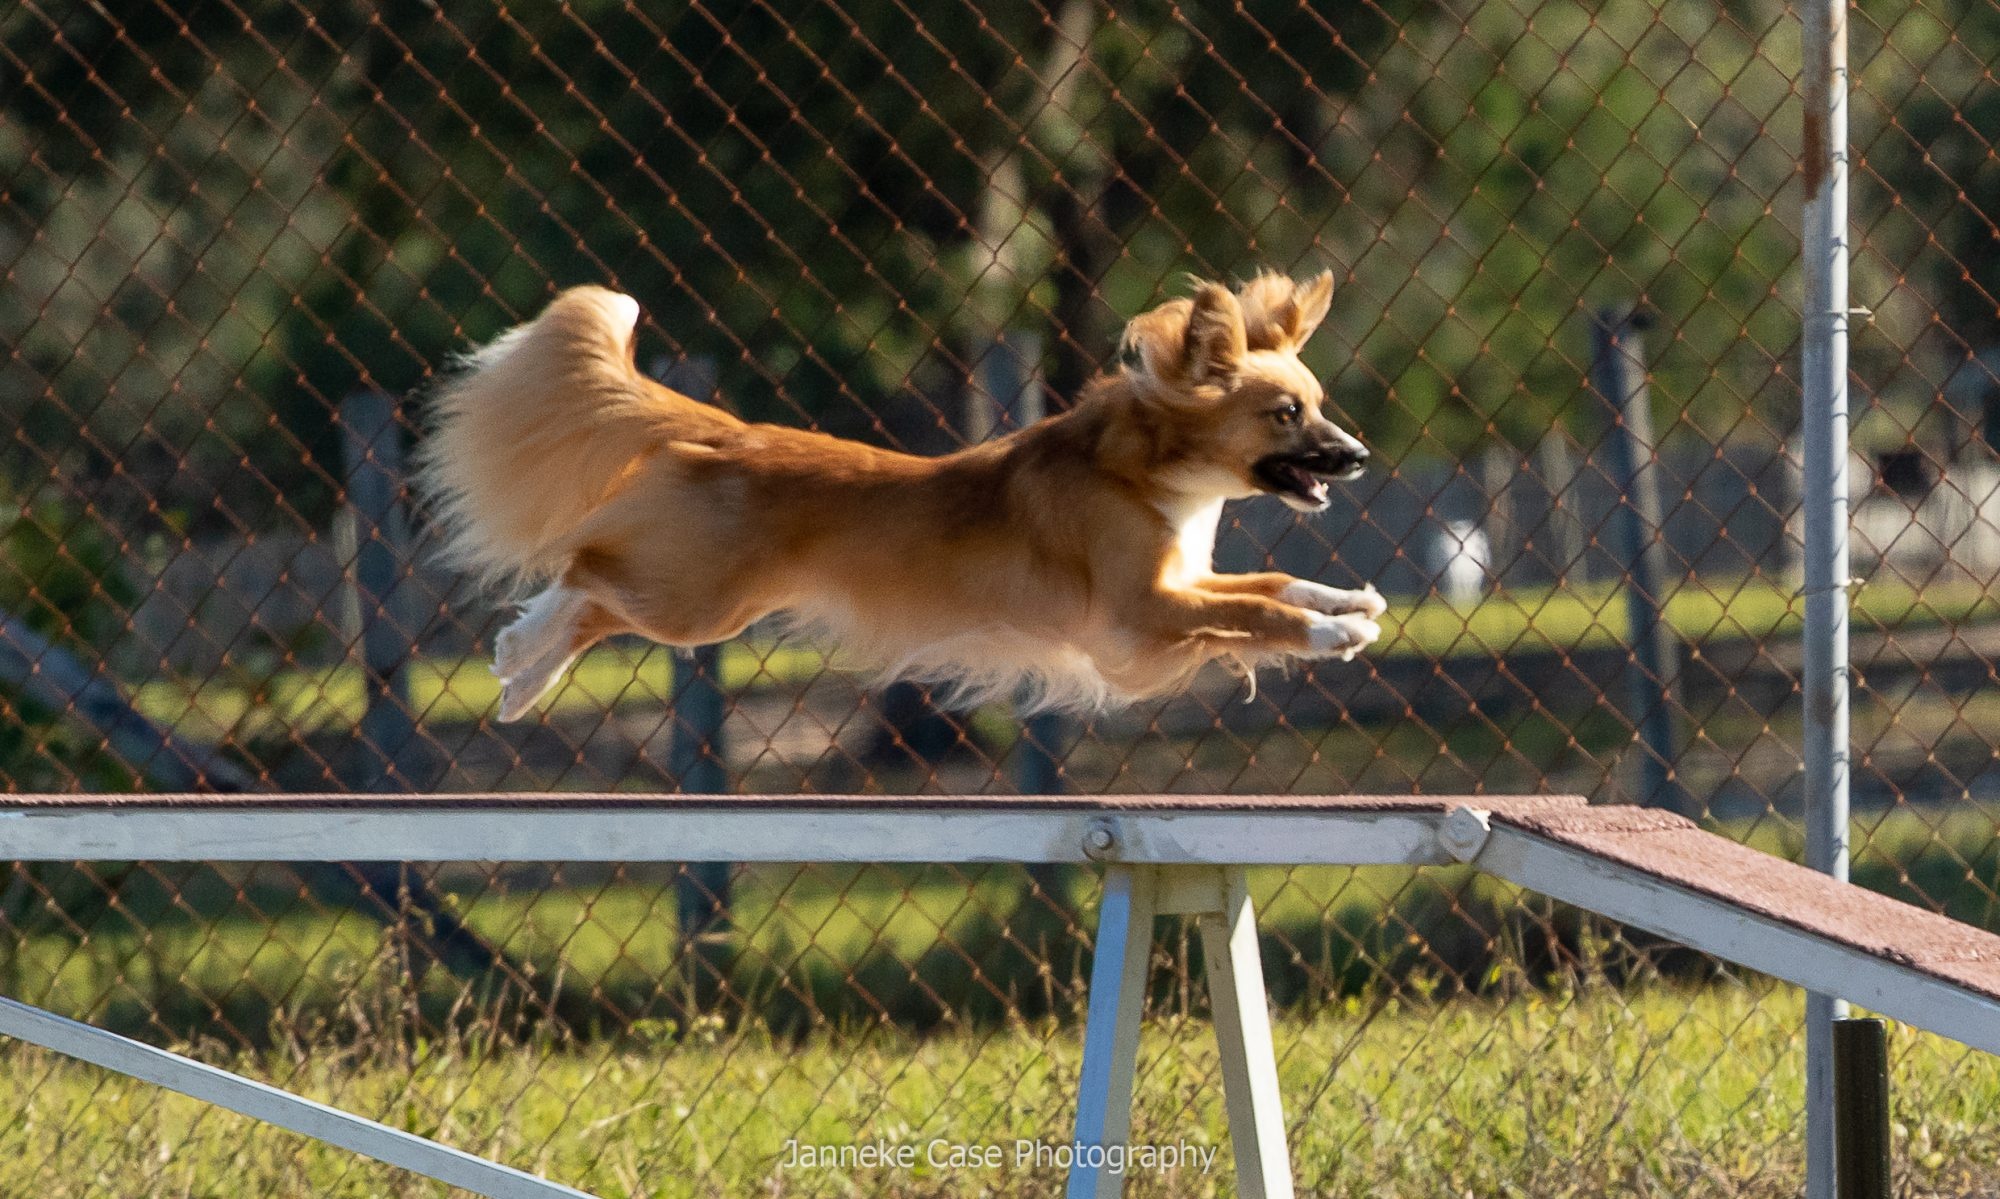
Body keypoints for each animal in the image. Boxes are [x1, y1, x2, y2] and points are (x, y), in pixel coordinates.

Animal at [418, 273, 1392, 719]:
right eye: (1286, 413)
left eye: (1318, 404)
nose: (1357, 456)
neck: (1143, 472)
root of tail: (734, 430)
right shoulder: (1140, 612)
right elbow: (1257, 614)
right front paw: (1332, 634)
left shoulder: (1182, 588)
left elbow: (1269, 588)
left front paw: (1348, 602)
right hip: (695, 600)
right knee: (584, 573)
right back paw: (524, 653)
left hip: (705, 601)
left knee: (590, 597)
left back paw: (521, 678)